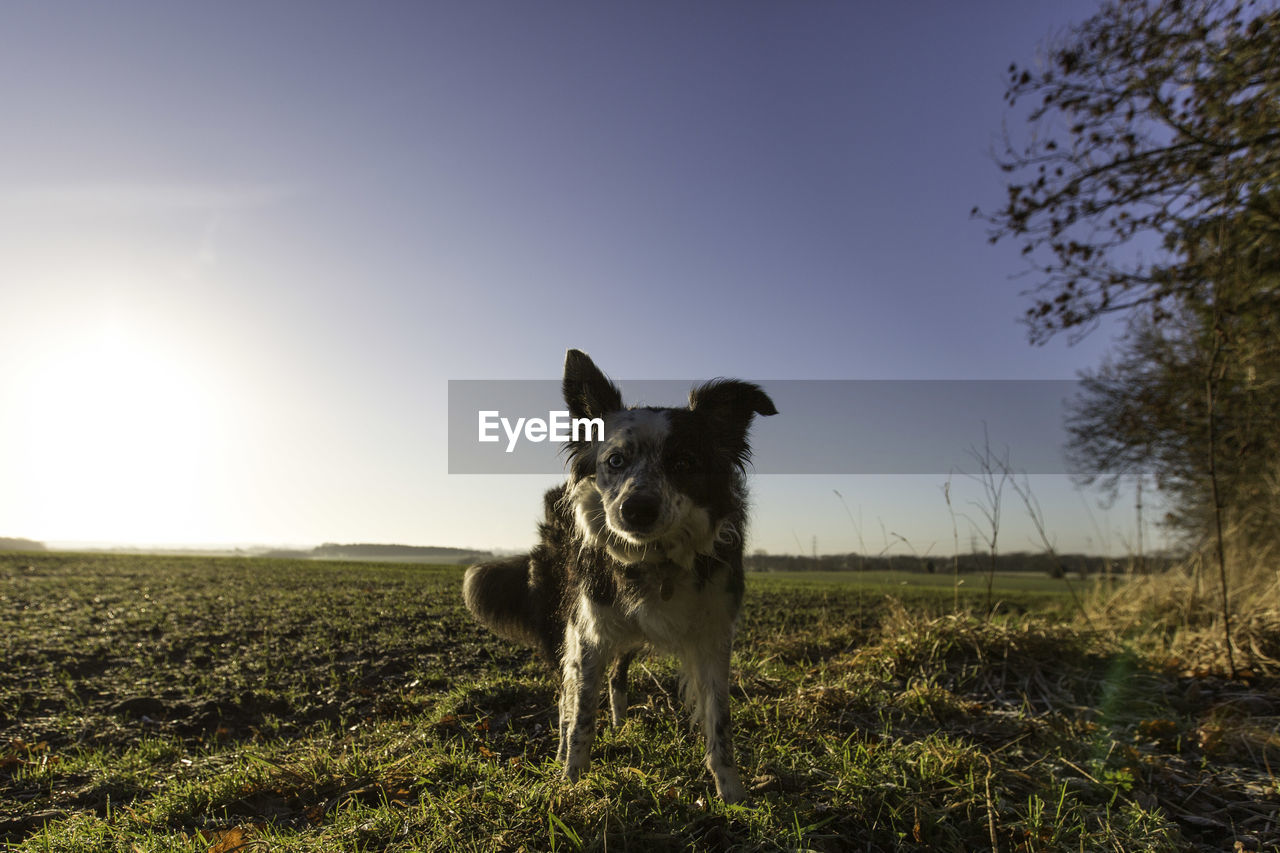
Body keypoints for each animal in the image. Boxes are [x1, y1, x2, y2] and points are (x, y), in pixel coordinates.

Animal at [465, 348, 773, 799]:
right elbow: (580, 716)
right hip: (563, 622)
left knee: (616, 676)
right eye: (615, 460)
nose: (637, 509)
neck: (656, 560)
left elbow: (720, 718)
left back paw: (621, 722)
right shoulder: (590, 630)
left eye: (684, 462)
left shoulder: (714, 630)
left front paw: (732, 793)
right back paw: (564, 751)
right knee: (566, 695)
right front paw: (571, 783)